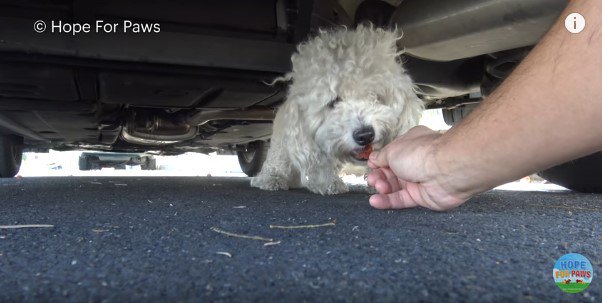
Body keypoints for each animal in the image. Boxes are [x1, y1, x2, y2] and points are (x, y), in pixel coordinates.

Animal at [250, 24, 422, 195]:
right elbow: (320, 164)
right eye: (334, 102)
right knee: (277, 158)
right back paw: (270, 179)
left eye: (376, 97)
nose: (365, 135)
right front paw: (329, 183)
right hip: (282, 140)